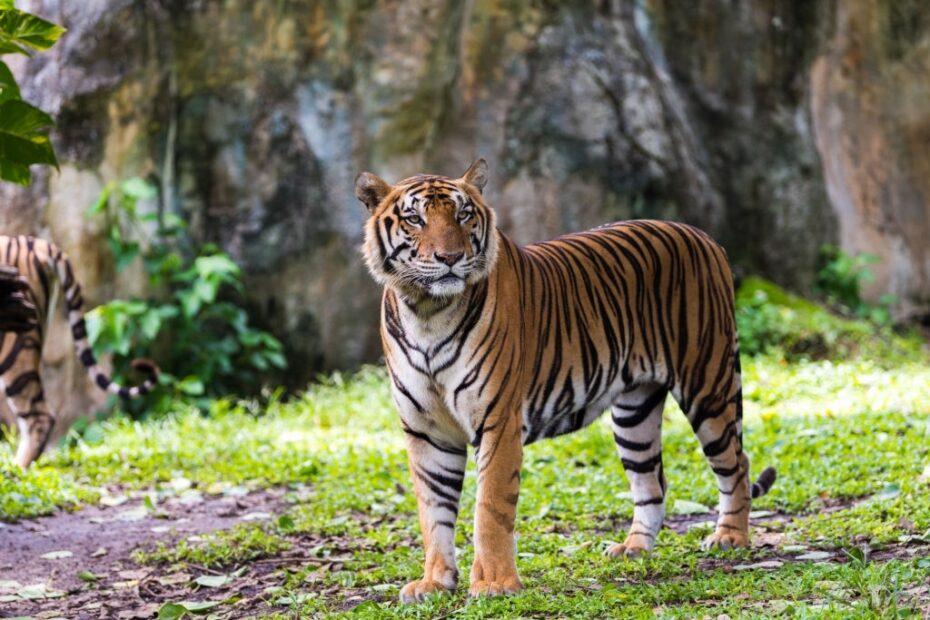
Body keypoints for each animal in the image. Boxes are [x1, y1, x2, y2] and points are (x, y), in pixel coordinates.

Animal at [355, 159, 777, 602]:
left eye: (463, 214)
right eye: (415, 219)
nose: (451, 257)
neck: (427, 312)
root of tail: (703, 236)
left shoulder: (498, 421)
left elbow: (490, 507)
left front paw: (494, 583)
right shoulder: (426, 431)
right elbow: (433, 511)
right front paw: (435, 581)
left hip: (708, 383)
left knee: (737, 464)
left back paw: (730, 537)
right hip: (635, 413)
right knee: (653, 481)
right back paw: (634, 548)